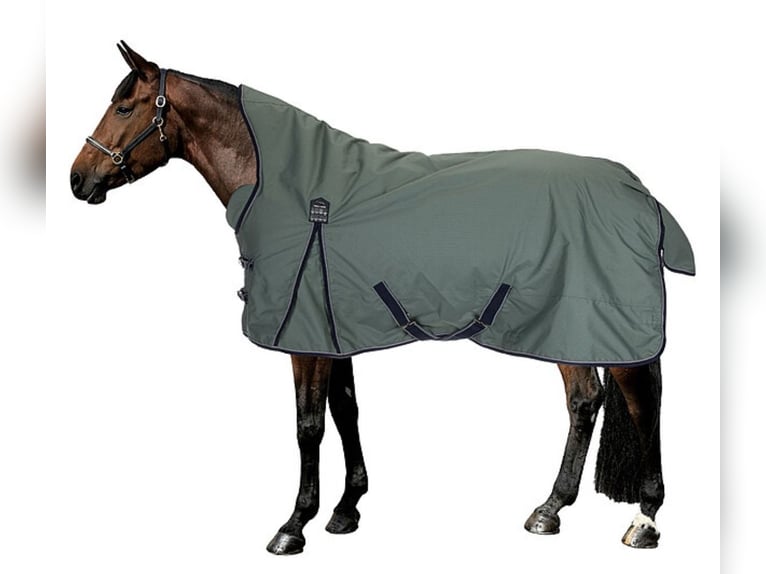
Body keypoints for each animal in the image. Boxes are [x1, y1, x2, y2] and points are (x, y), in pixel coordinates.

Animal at [70, 41, 693, 555]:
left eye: (124, 107)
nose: (79, 179)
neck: (295, 191)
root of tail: (641, 193)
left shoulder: (305, 340)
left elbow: (308, 425)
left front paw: (293, 526)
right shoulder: (334, 330)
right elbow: (346, 411)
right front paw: (347, 510)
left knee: (642, 403)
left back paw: (644, 520)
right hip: (568, 326)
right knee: (586, 401)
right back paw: (549, 509)